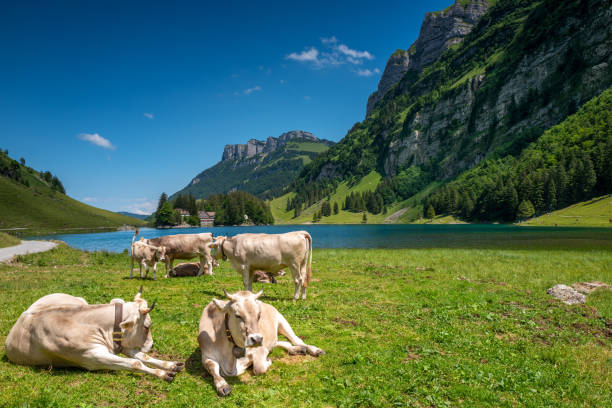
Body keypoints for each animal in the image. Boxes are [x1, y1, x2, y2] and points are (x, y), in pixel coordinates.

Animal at [5, 288, 184, 380]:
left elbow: (143, 357)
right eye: (147, 326)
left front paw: (170, 365)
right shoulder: (93, 357)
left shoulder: (123, 343)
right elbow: (136, 363)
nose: (152, 345)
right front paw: (163, 373)